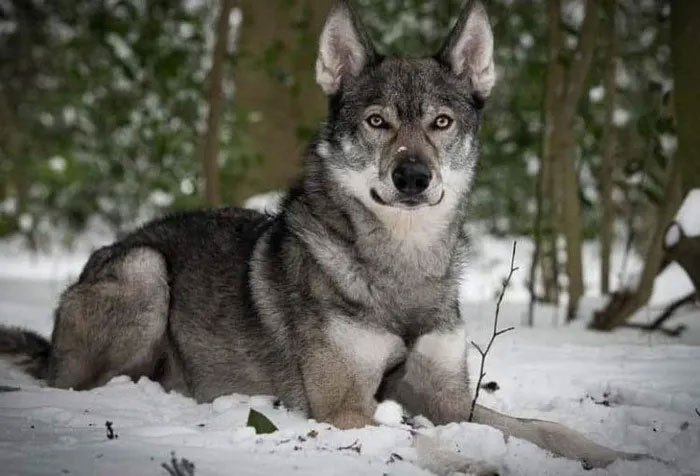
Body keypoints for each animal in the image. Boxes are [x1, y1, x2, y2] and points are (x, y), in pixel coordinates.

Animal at [1, 0, 638, 471]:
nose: (413, 177)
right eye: (377, 122)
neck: (399, 269)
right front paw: (470, 462)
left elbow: (542, 427)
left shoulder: (449, 397)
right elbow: (410, 436)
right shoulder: (343, 405)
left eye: (441, 122)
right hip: (144, 271)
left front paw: (615, 454)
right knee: (88, 383)